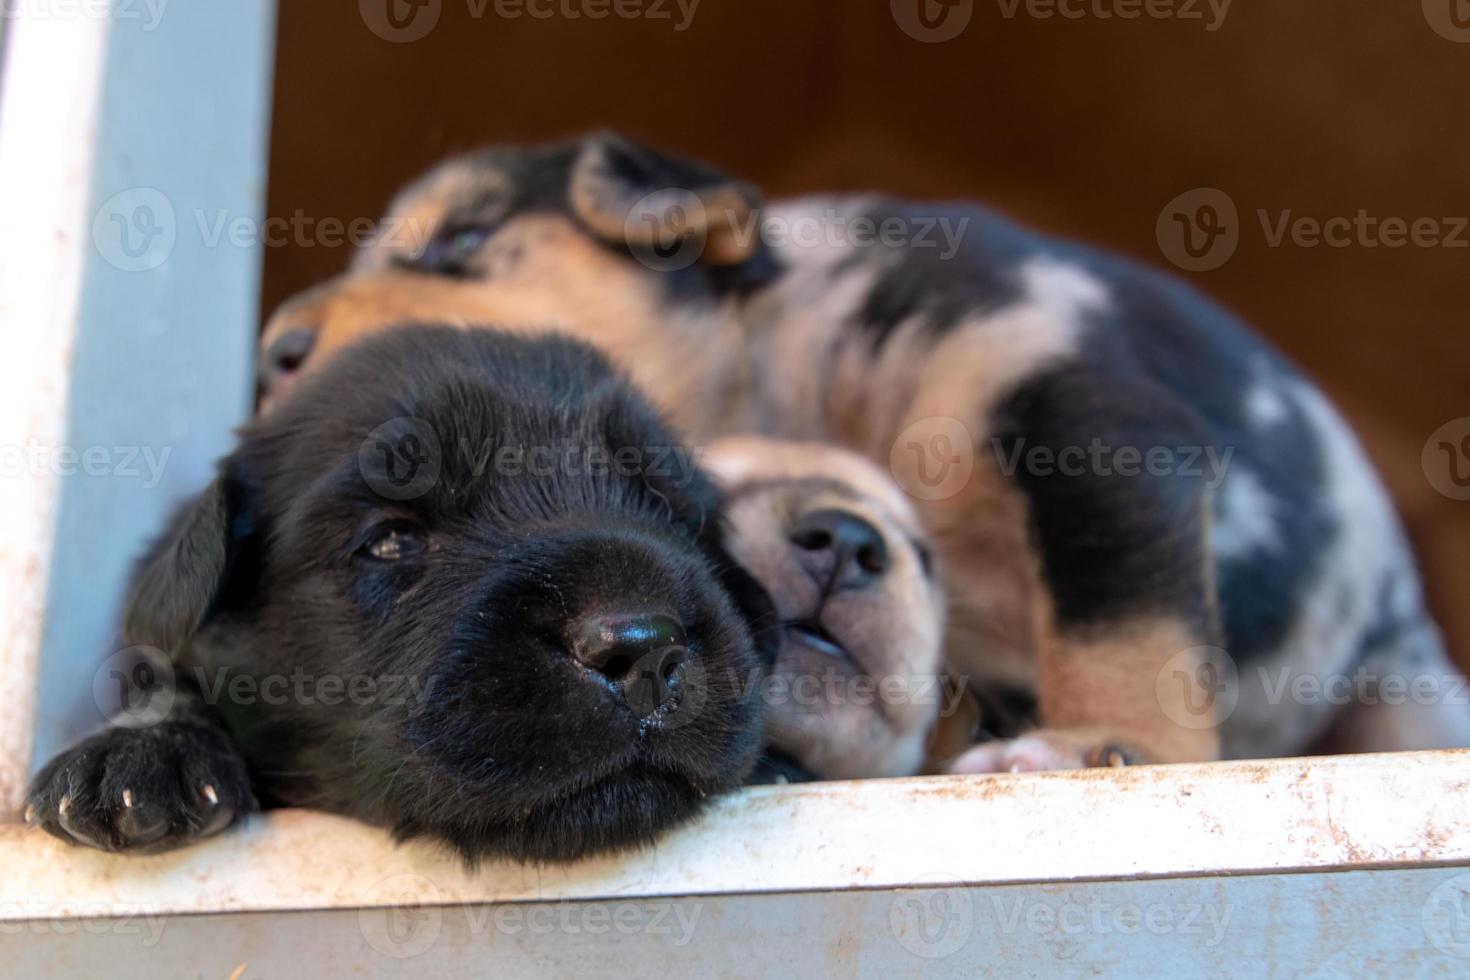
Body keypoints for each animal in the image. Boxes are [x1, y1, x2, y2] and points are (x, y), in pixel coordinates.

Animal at [258, 132, 1470, 775]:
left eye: (463, 239)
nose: (273, 354)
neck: (789, 366)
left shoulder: (1087, 412)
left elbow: (1127, 629)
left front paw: (1100, 751)